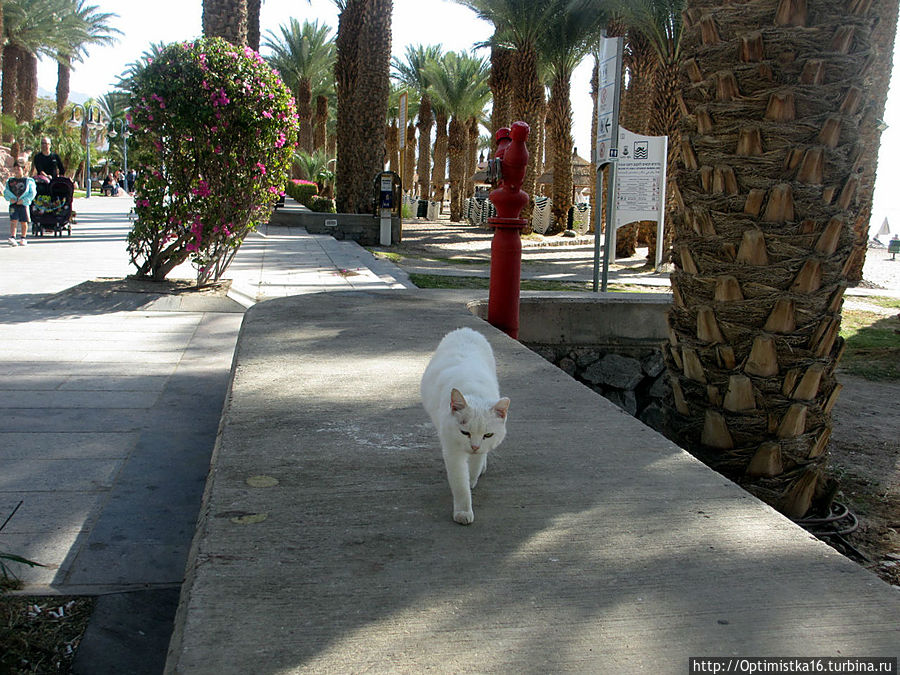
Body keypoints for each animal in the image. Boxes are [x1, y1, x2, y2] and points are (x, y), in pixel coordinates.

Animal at [420, 330, 510, 524]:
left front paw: (473, 478)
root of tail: (466, 329)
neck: (474, 393)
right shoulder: (452, 450)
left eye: (488, 435)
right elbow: (460, 483)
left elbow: (475, 466)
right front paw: (463, 510)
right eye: (464, 432)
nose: (474, 446)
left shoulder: (482, 448)